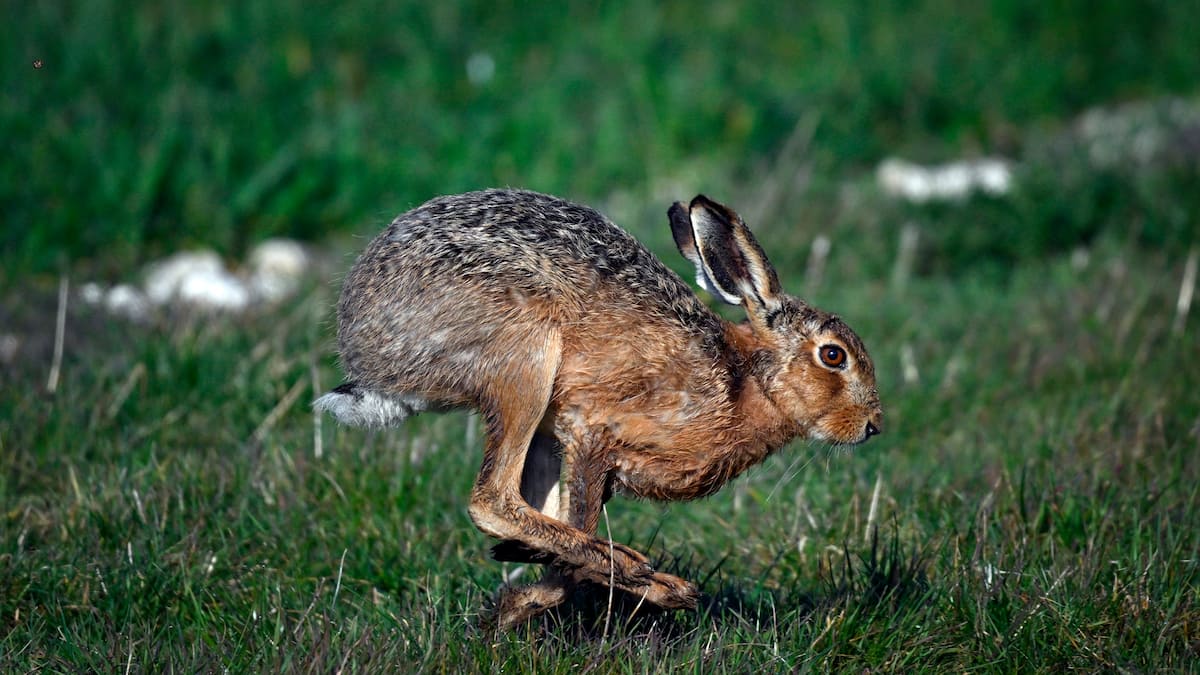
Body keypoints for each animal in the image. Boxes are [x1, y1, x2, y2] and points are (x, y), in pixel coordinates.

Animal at [314, 188, 882, 628]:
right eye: (833, 356)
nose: (872, 426)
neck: (744, 379)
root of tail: (364, 345)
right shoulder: (593, 432)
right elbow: (575, 532)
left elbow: (567, 540)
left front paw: (512, 603)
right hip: (525, 360)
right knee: (493, 500)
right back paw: (641, 572)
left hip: (538, 422)